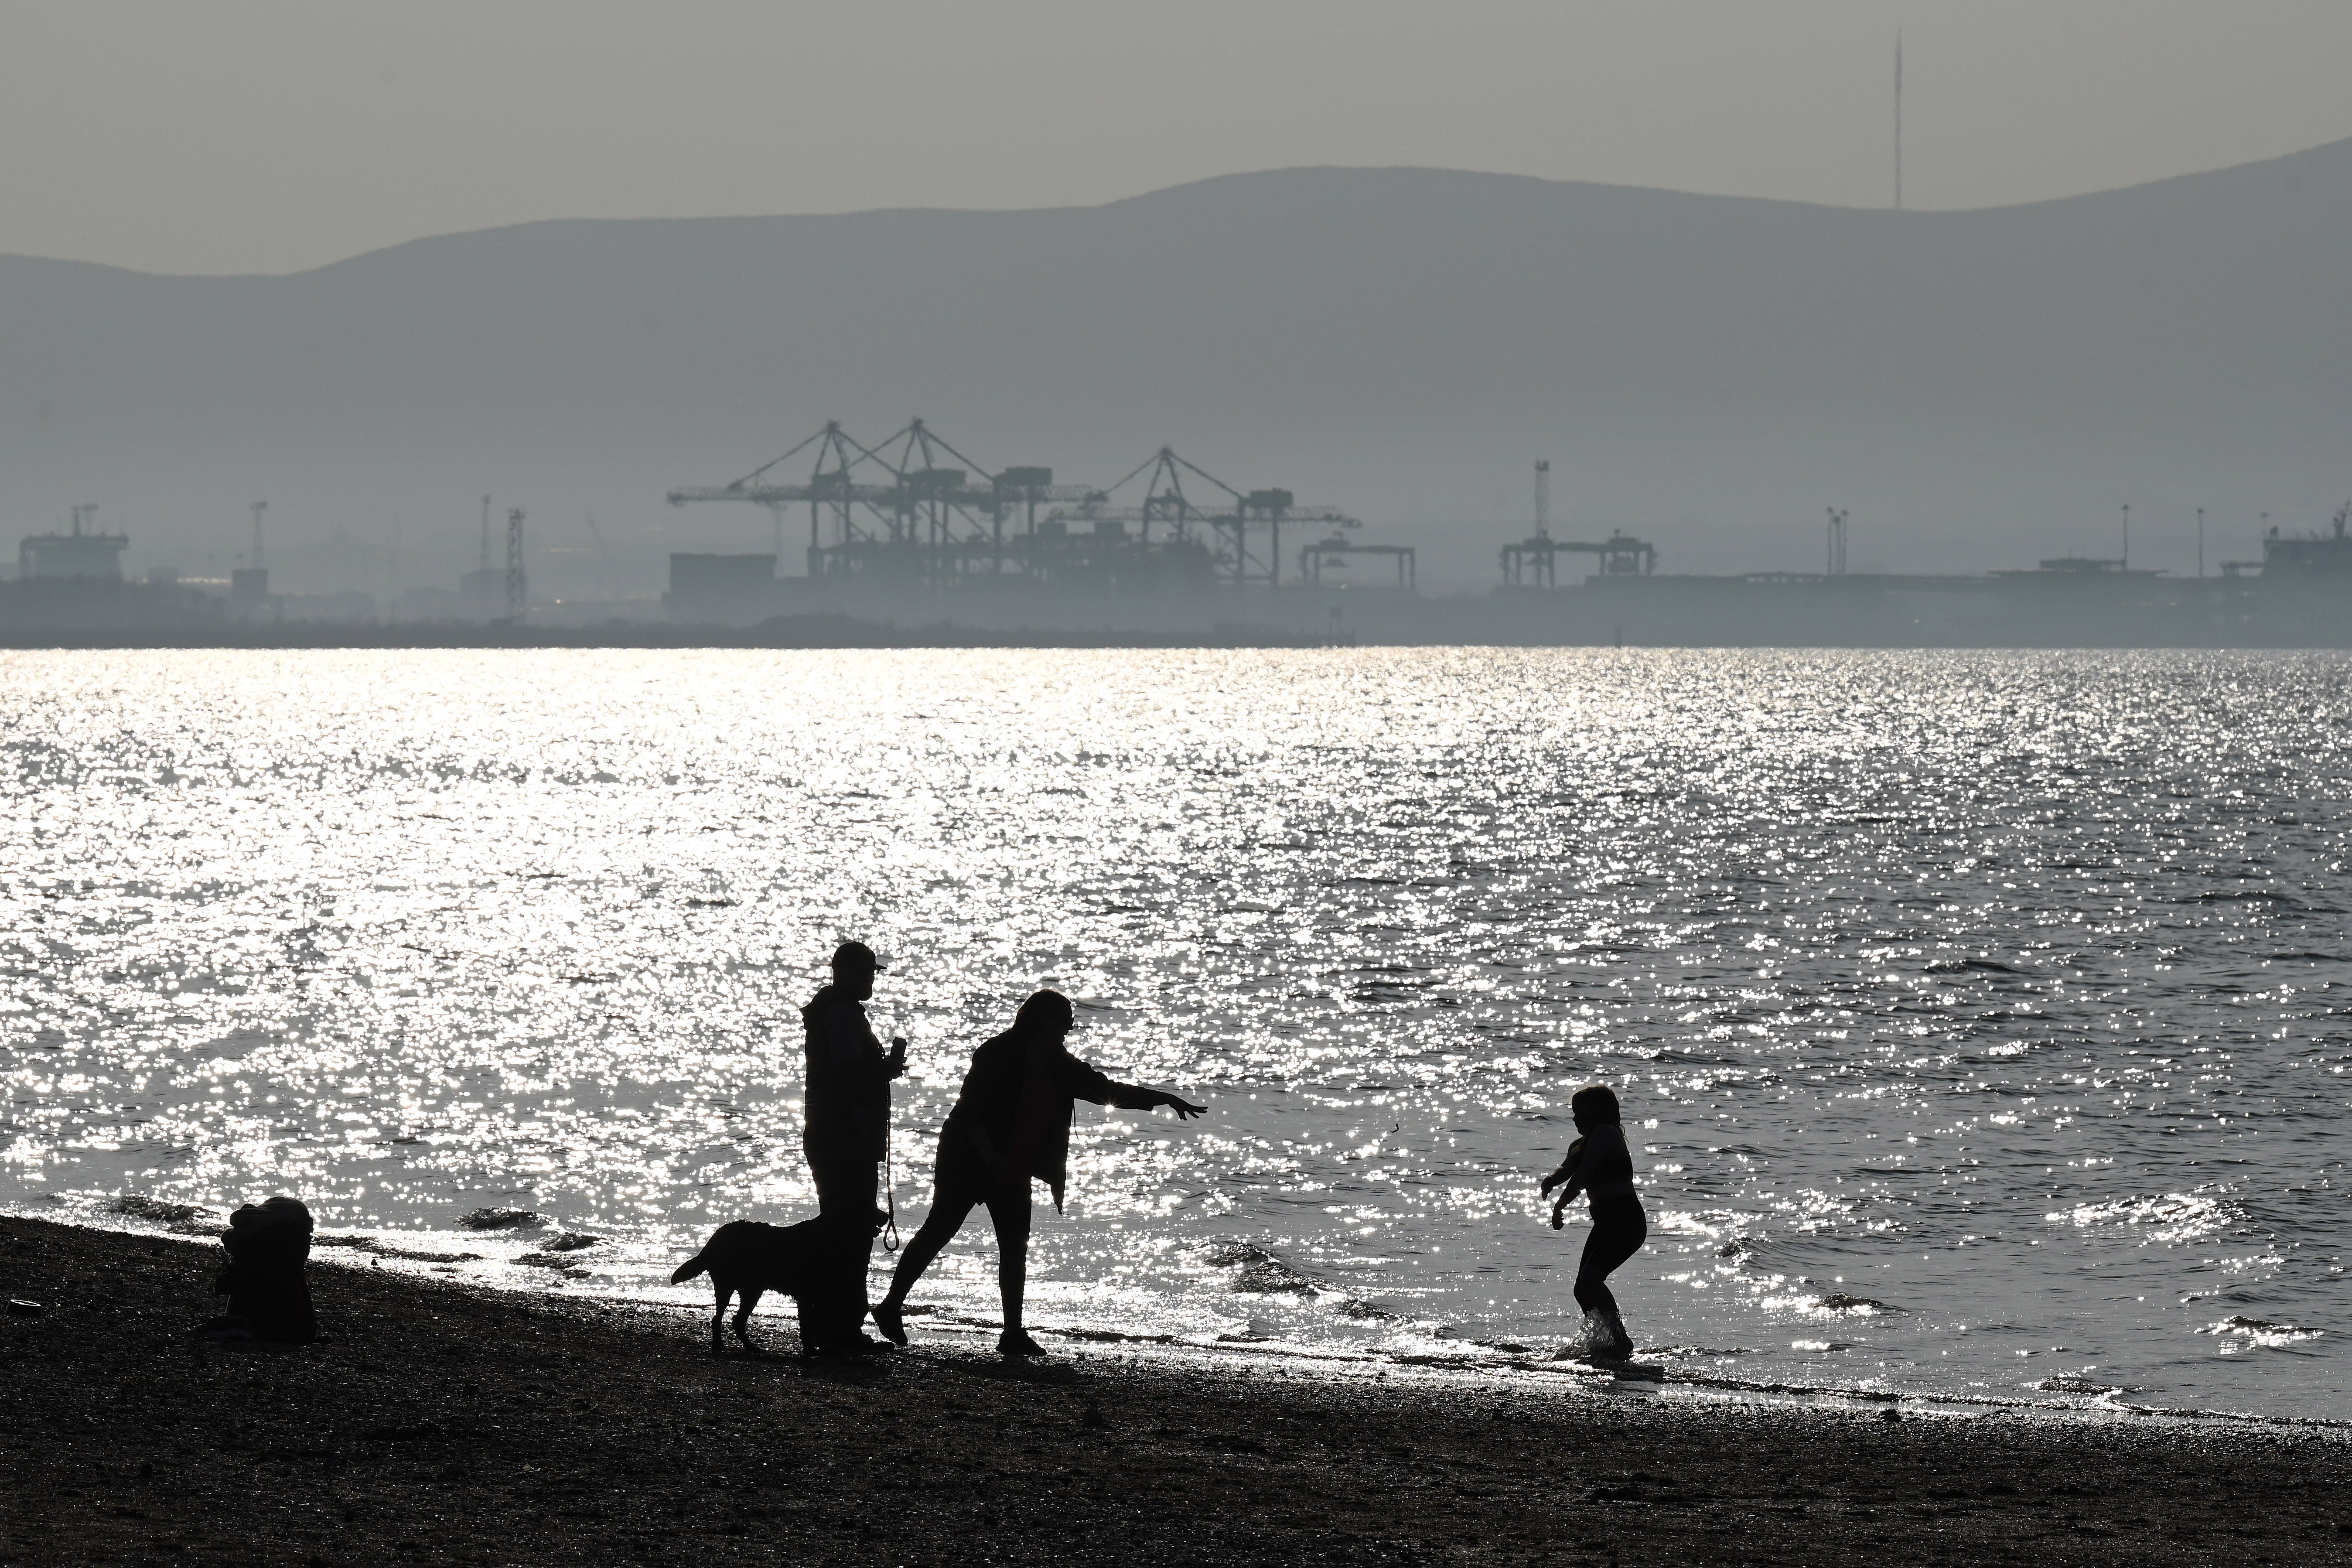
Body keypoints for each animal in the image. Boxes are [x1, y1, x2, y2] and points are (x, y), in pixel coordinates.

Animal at [668, 1213, 884, 1363]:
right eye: (869, 1208)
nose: (886, 1217)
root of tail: (716, 1237)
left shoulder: (816, 1295)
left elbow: (816, 1325)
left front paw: (822, 1349)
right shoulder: (806, 1296)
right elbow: (808, 1325)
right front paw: (809, 1351)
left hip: (751, 1289)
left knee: (736, 1321)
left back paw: (751, 1348)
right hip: (731, 1286)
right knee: (719, 1319)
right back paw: (719, 1345)